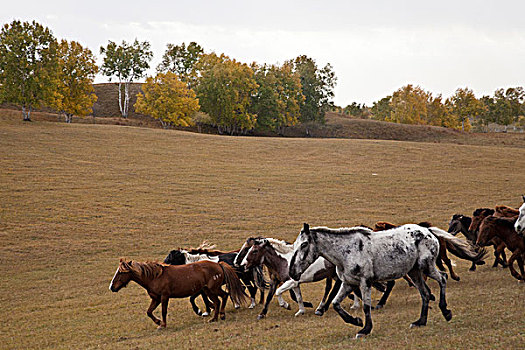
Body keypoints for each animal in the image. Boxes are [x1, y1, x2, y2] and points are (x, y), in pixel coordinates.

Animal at [109, 258, 248, 328]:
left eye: (121, 272)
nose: (112, 287)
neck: (155, 277)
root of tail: (218, 264)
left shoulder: (164, 297)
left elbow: (163, 311)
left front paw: (163, 324)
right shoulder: (156, 298)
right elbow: (149, 312)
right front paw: (158, 322)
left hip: (212, 289)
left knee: (223, 297)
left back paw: (220, 315)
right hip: (208, 290)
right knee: (219, 300)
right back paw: (215, 318)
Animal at [286, 224, 454, 340]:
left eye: (304, 244)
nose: (292, 272)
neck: (347, 252)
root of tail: (427, 231)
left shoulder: (364, 282)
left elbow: (366, 307)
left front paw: (365, 329)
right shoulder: (349, 283)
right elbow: (336, 304)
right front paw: (356, 321)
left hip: (426, 266)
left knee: (443, 278)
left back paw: (446, 312)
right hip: (414, 272)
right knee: (425, 294)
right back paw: (420, 322)